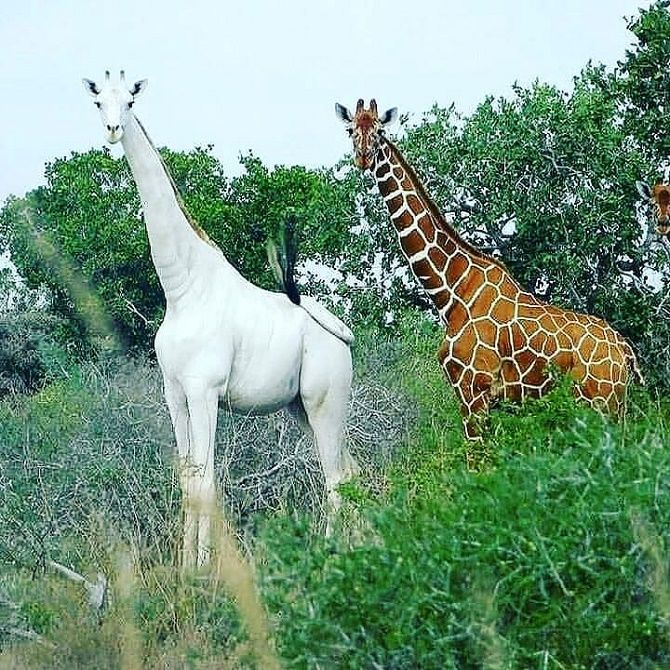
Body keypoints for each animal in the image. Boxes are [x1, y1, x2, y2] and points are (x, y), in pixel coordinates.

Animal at [84, 72, 360, 568]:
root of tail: (345, 338)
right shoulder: (174, 392)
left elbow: (207, 481)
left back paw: (333, 555)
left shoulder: (205, 390)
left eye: (130, 101)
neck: (182, 289)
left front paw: (203, 571)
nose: (114, 130)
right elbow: (188, 478)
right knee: (350, 471)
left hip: (325, 401)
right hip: (302, 408)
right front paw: (183, 568)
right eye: (99, 102)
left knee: (336, 480)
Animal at [338, 97, 644, 438]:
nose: (363, 157)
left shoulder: (473, 390)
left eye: (379, 132)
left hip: (604, 404)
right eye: (351, 129)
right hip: (611, 406)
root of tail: (627, 353)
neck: (452, 291)